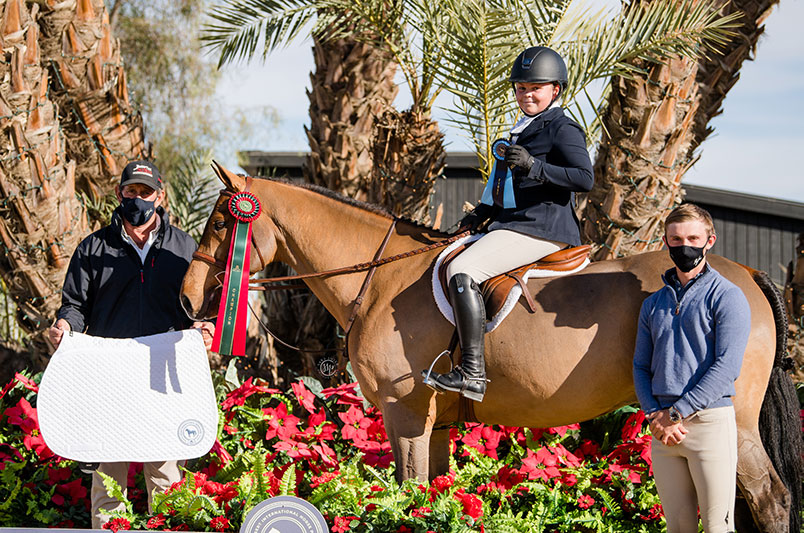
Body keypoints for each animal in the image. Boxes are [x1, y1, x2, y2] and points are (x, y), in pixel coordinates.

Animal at [181, 164, 796, 528]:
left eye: (221, 223)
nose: (187, 299)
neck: (378, 276)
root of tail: (742, 272)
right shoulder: (436, 425)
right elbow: (435, 496)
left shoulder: (406, 415)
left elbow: (410, 497)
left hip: (731, 419)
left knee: (770, 499)